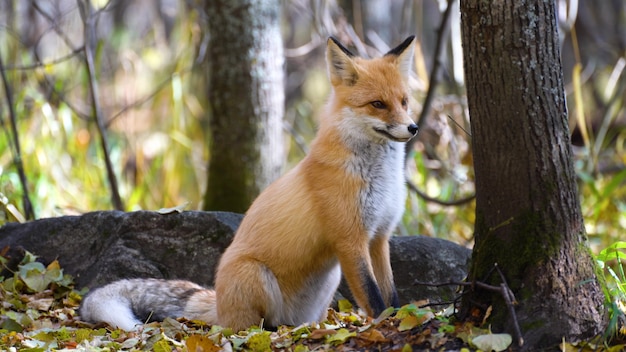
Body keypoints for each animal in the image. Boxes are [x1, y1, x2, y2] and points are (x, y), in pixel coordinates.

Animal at [80, 36, 416, 332]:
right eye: (377, 104)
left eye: (404, 102)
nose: (413, 128)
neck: (381, 179)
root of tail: (218, 303)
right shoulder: (350, 239)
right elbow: (373, 298)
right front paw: (387, 324)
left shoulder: (379, 237)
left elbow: (391, 293)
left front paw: (403, 318)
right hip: (256, 275)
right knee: (250, 327)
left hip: (328, 280)